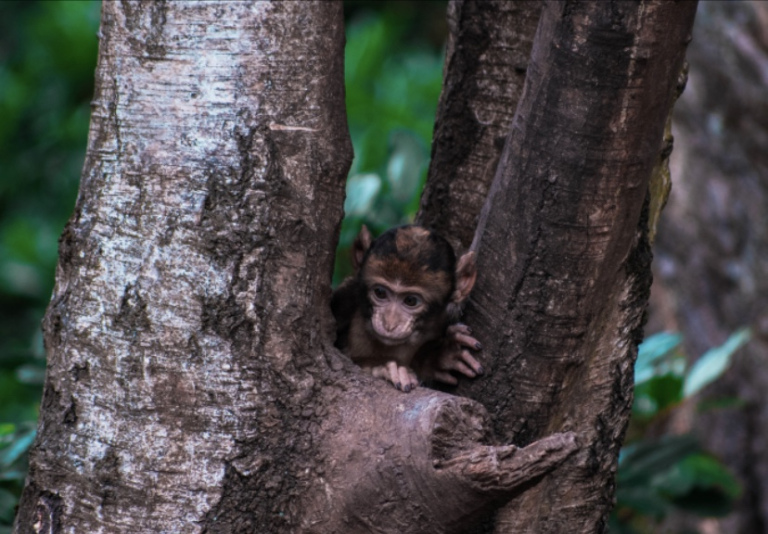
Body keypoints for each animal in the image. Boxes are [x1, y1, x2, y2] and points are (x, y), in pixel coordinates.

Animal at [331, 225, 483, 392]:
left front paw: (438, 355)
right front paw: (382, 368)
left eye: (410, 300)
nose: (389, 324)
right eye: (380, 292)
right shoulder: (346, 296)